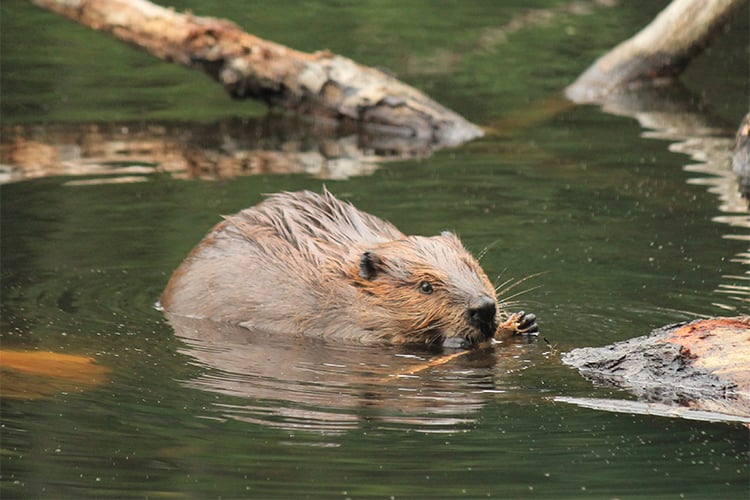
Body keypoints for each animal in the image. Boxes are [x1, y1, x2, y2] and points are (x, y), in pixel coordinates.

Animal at [162, 189, 540, 350]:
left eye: (472, 265)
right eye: (425, 286)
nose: (483, 307)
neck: (344, 284)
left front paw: (523, 323)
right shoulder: (334, 318)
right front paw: (457, 339)